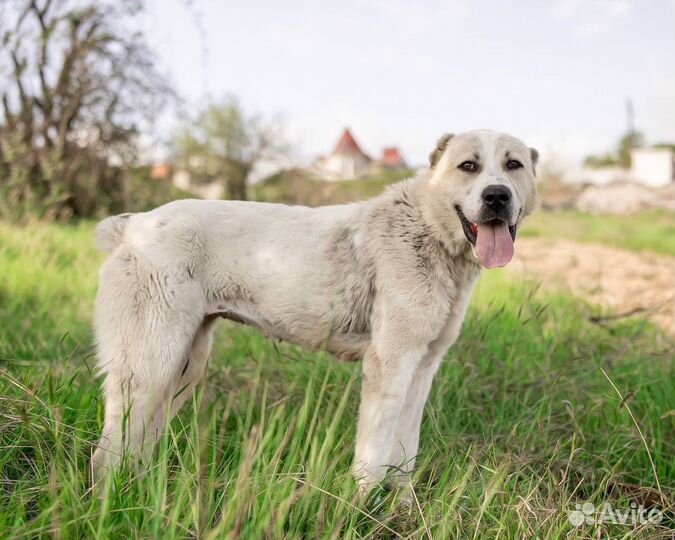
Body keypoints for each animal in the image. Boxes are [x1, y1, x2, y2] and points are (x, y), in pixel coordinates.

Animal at [92, 130, 540, 490]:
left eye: (513, 165)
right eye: (468, 166)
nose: (497, 196)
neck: (427, 229)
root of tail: (131, 225)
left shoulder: (422, 369)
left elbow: (404, 456)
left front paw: (402, 511)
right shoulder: (388, 366)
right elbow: (373, 458)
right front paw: (362, 513)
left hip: (183, 367)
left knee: (139, 444)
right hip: (150, 366)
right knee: (107, 454)